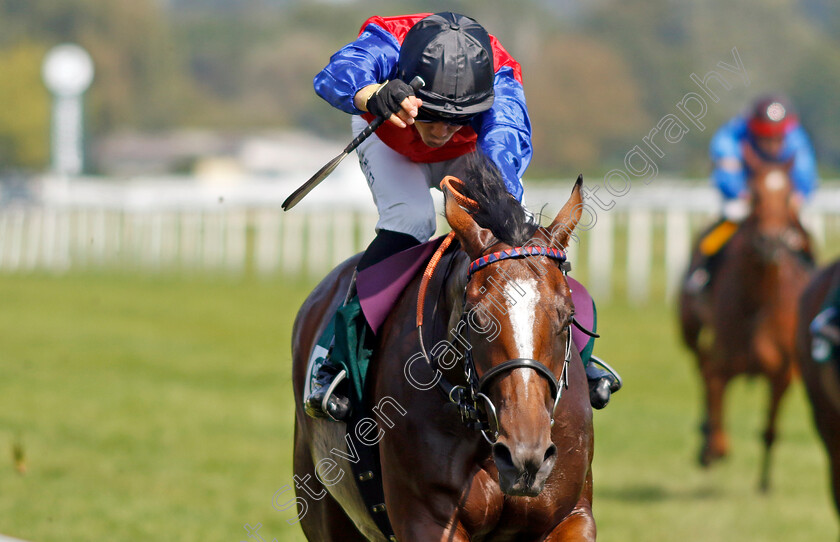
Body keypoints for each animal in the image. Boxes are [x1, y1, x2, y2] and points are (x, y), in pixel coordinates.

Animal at [680, 156, 816, 492]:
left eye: (789, 194)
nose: (770, 240)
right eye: (754, 195)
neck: (760, 302)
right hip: (689, 329)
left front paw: (765, 483)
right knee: (700, 365)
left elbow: (770, 430)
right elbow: (714, 394)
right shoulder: (724, 364)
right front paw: (712, 447)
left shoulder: (783, 372)